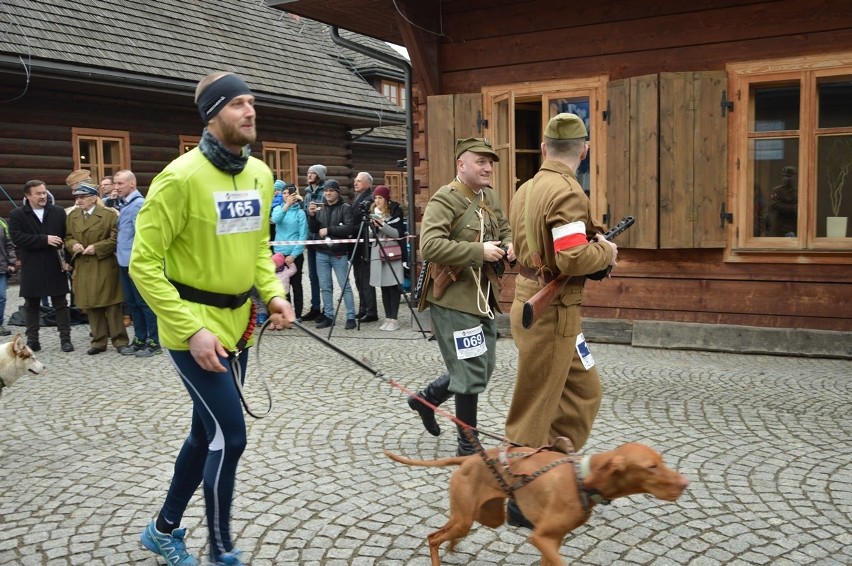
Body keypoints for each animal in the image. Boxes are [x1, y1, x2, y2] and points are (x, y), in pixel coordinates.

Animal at [384, 444, 684, 566]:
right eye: (651, 467)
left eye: (662, 461)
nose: (685, 483)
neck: (582, 478)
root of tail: (469, 458)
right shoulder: (541, 538)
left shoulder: (553, 540)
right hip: (468, 518)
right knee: (433, 537)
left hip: (481, 516)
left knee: (444, 532)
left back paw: (452, 547)